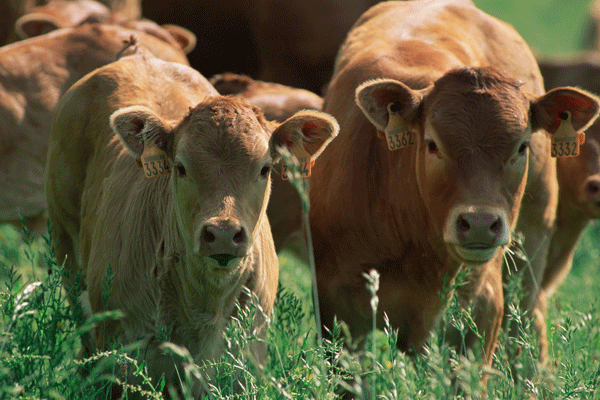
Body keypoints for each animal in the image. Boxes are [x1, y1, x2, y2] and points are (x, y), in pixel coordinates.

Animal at [43, 49, 338, 394]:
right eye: (181, 167)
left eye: (265, 168)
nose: (223, 233)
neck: (205, 305)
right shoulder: (123, 359)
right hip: (66, 250)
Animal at [310, 0, 600, 366]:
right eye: (433, 144)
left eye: (522, 146)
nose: (479, 223)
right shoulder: (339, 308)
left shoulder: (482, 309)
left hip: (531, 246)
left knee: (527, 324)